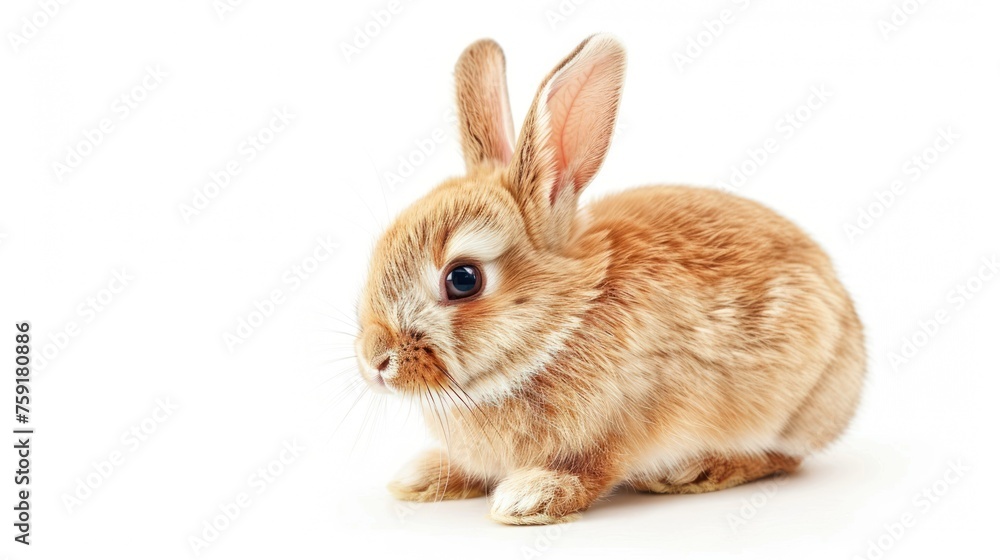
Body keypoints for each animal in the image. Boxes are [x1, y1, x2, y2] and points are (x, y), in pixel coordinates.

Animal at [354, 34, 865, 525]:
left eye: (463, 279)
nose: (375, 361)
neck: (565, 322)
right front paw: (423, 475)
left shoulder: (620, 428)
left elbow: (592, 469)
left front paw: (530, 497)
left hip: (795, 411)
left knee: (785, 457)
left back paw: (694, 470)